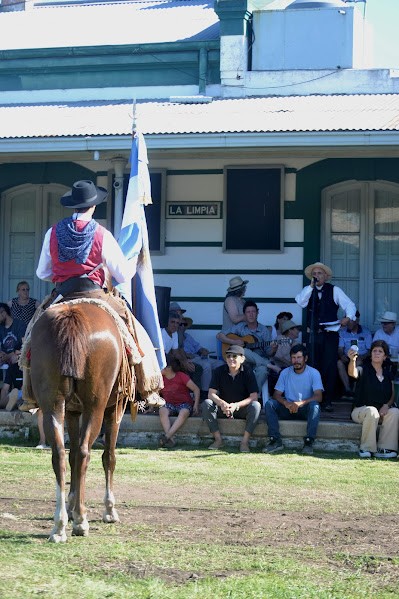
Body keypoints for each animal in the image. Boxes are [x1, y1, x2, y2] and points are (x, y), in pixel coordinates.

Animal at [31, 304, 131, 544]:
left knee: (59, 454)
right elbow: (108, 457)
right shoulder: (115, 409)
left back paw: (60, 525)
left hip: (53, 405)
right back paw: (80, 521)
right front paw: (109, 510)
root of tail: (72, 316)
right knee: (86, 452)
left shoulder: (72, 412)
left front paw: (71, 502)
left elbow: (72, 455)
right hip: (95, 406)